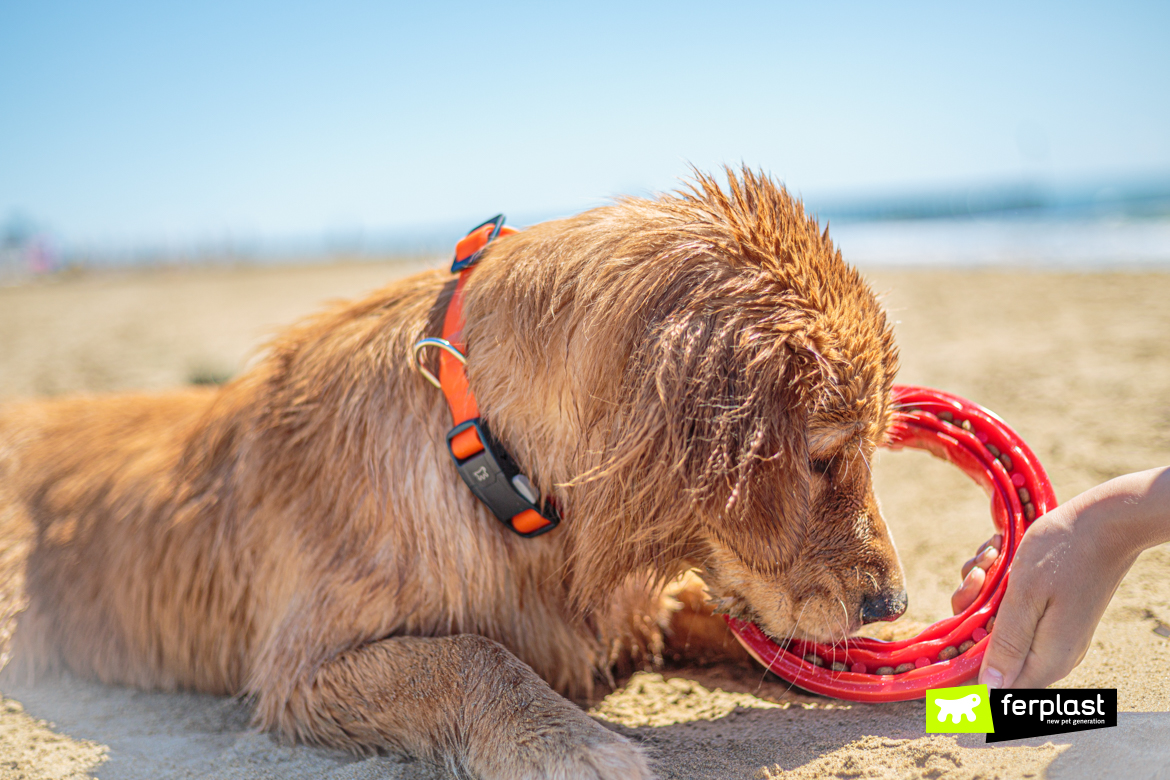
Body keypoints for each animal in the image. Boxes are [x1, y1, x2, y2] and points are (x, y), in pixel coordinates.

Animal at [0, 168, 903, 776]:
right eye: (825, 457)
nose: (891, 603)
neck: (493, 463)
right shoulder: (298, 668)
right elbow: (468, 654)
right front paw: (570, 742)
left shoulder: (633, 604)